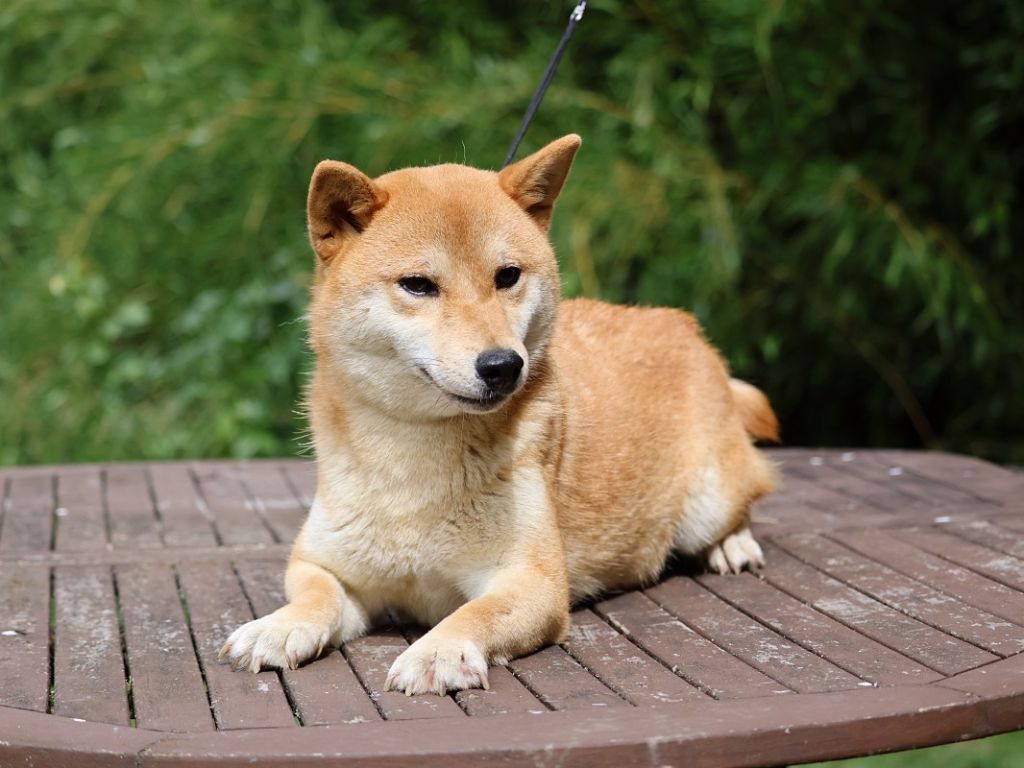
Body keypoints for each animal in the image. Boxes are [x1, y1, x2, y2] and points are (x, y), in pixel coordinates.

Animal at [216, 134, 774, 696]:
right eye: (418, 285)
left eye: (507, 276)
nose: (503, 365)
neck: (413, 460)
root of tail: (680, 323)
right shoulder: (324, 563)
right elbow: (315, 595)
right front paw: (277, 627)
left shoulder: (531, 579)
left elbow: (474, 613)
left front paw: (437, 650)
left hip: (707, 498)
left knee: (745, 500)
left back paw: (733, 547)